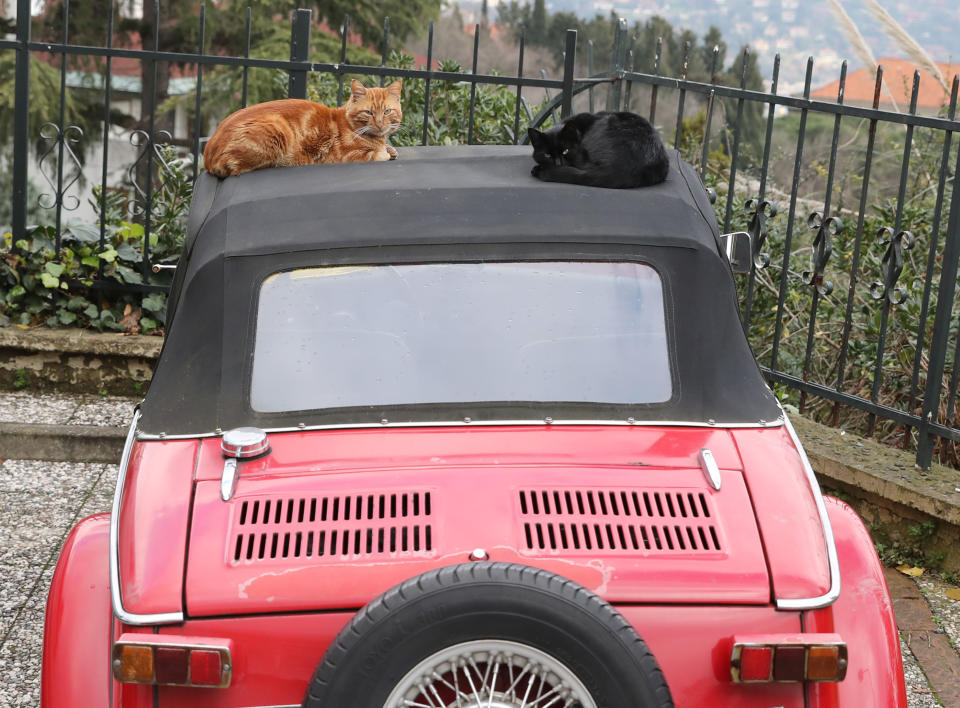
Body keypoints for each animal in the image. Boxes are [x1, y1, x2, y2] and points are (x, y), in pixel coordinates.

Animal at [204, 79, 404, 178]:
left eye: (387, 111)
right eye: (368, 112)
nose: (380, 123)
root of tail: (207, 154)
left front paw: (390, 148)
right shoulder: (347, 157)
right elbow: (376, 154)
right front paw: (385, 151)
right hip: (277, 130)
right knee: (240, 168)